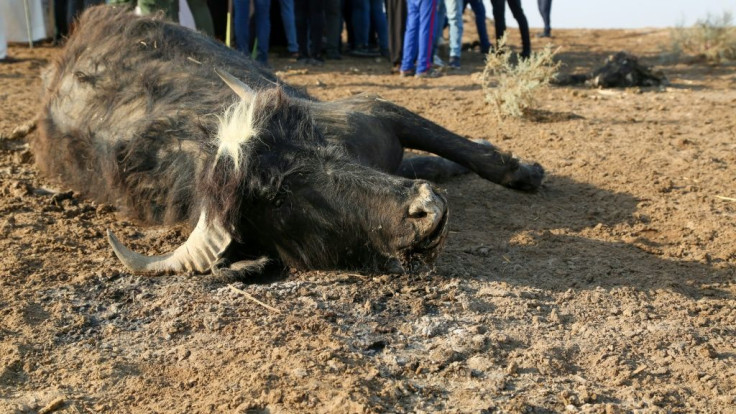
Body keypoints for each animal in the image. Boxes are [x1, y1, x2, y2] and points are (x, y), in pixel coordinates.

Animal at [33, 4, 540, 276]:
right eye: (279, 199)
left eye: (314, 142)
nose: (427, 209)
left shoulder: (375, 110)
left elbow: (466, 149)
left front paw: (524, 170)